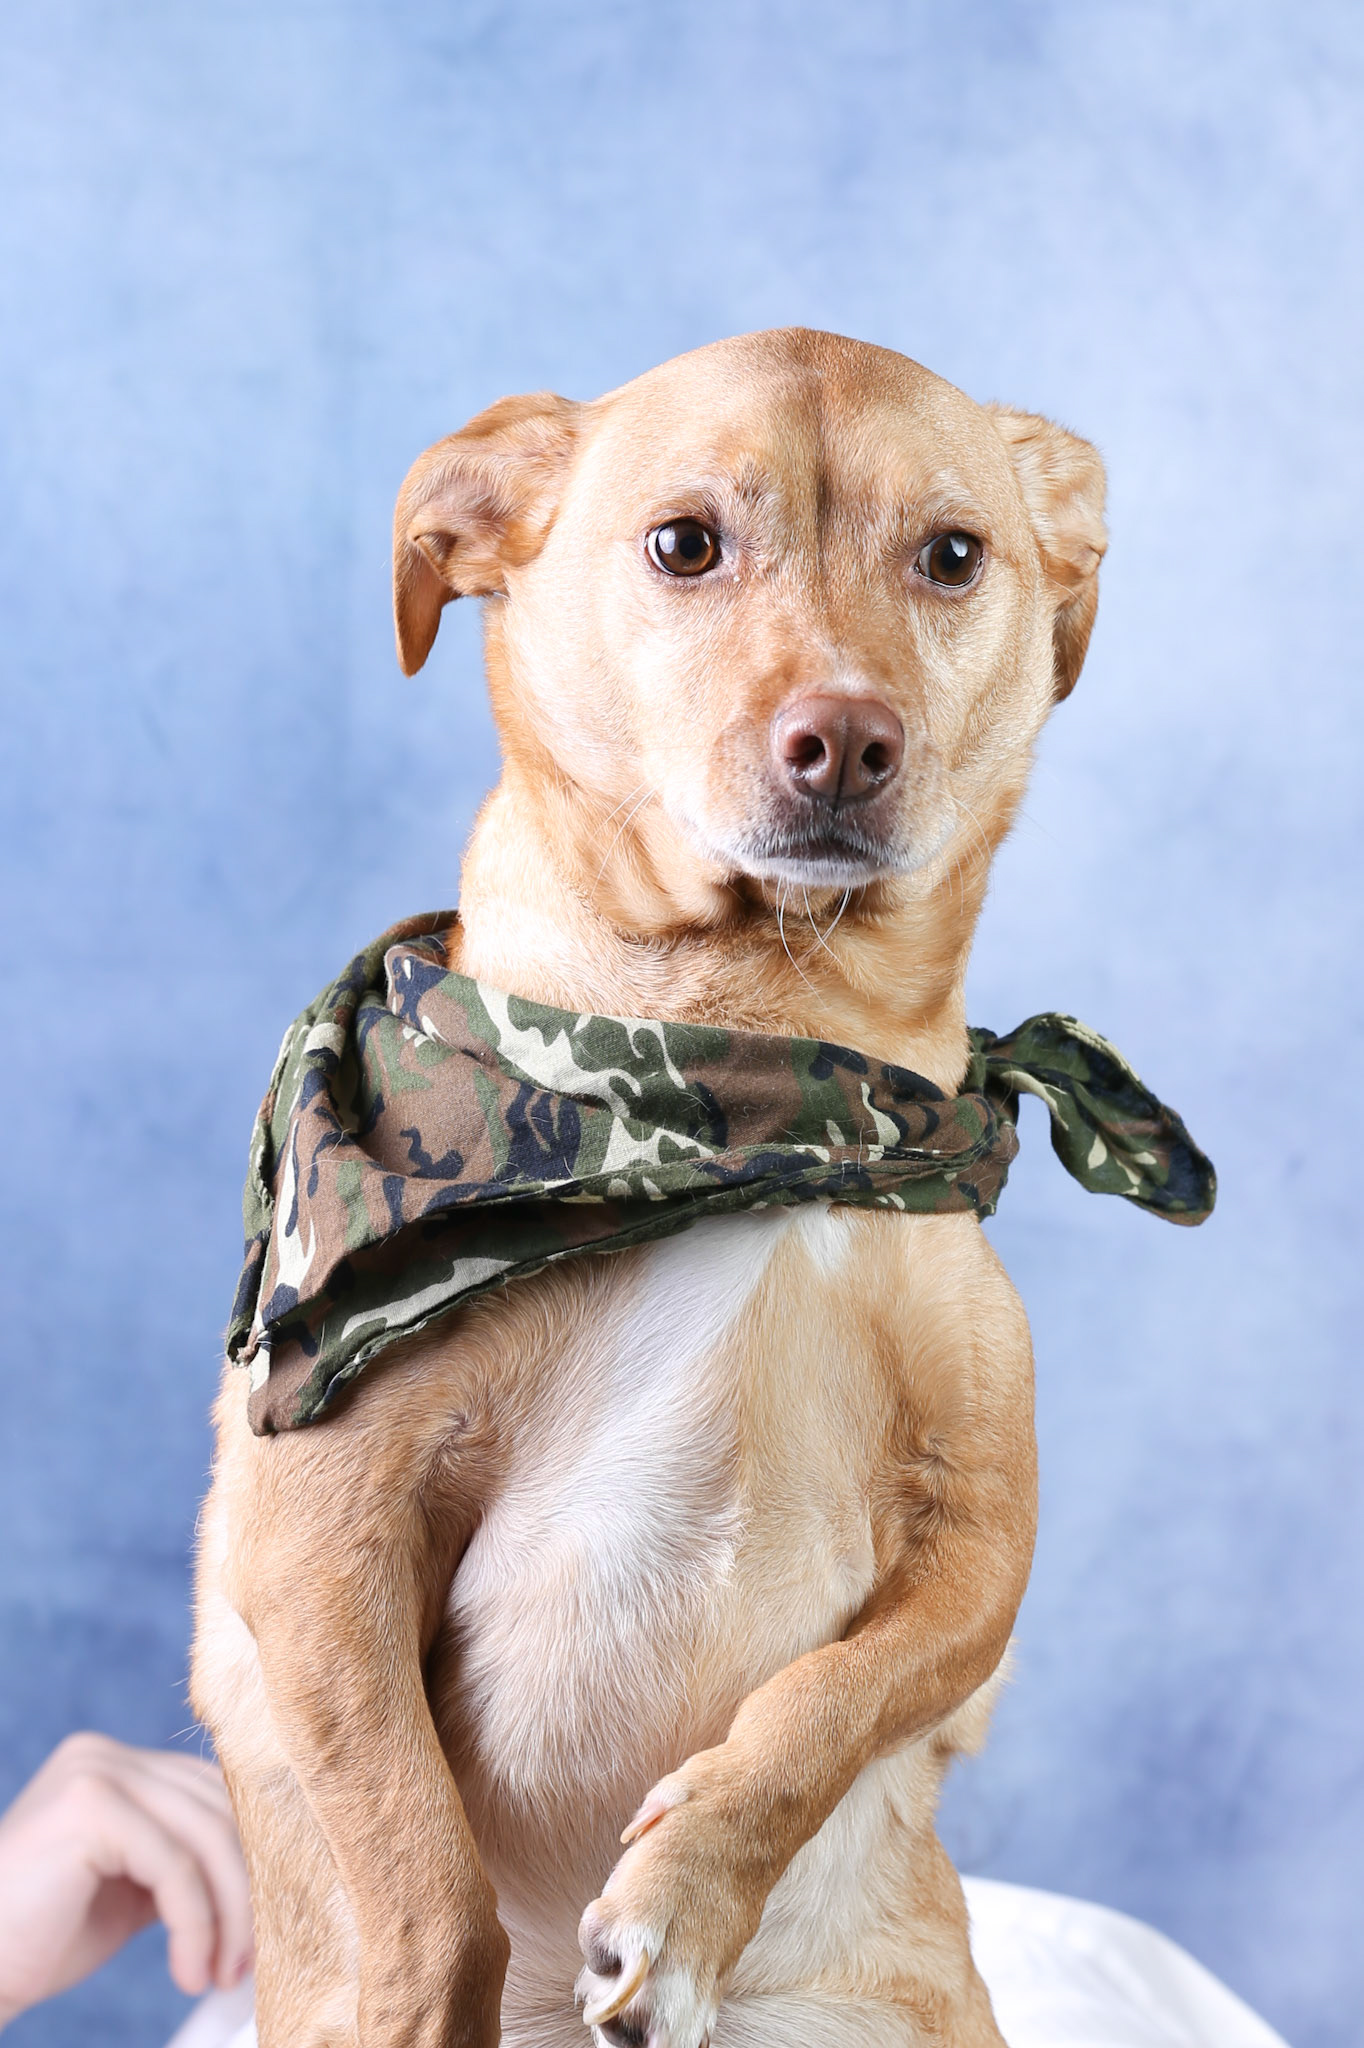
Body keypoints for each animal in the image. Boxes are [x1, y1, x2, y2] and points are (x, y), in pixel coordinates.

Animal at [192, 327, 1106, 2048]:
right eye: (686, 544)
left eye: (954, 555)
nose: (846, 738)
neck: (750, 1073)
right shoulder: (324, 1525)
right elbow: (422, 1878)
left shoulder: (981, 1541)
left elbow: (825, 1707)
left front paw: (679, 1908)